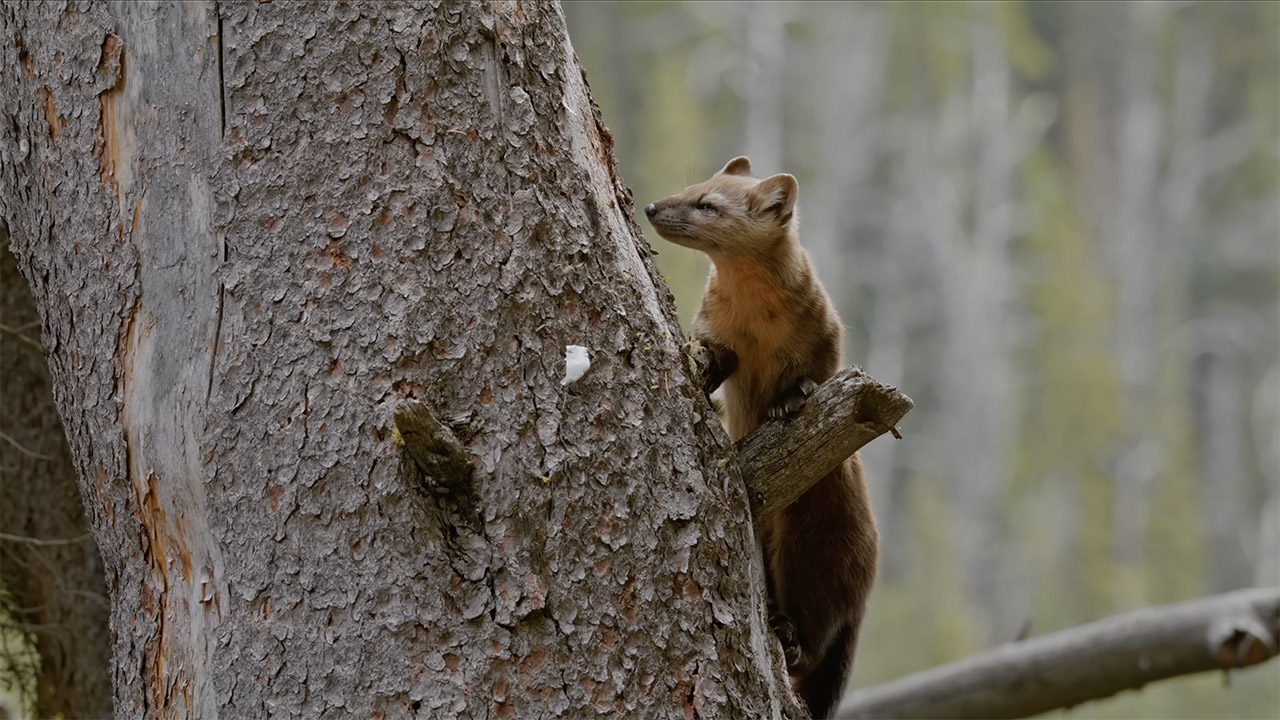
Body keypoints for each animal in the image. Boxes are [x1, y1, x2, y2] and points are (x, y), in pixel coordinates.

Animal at [645, 157, 879, 719]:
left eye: (708, 204)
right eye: (691, 186)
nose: (652, 207)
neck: (757, 331)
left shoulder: (827, 333)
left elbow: (816, 372)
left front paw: (789, 400)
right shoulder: (711, 326)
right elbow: (714, 356)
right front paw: (707, 372)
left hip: (816, 550)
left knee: (819, 632)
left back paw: (788, 635)